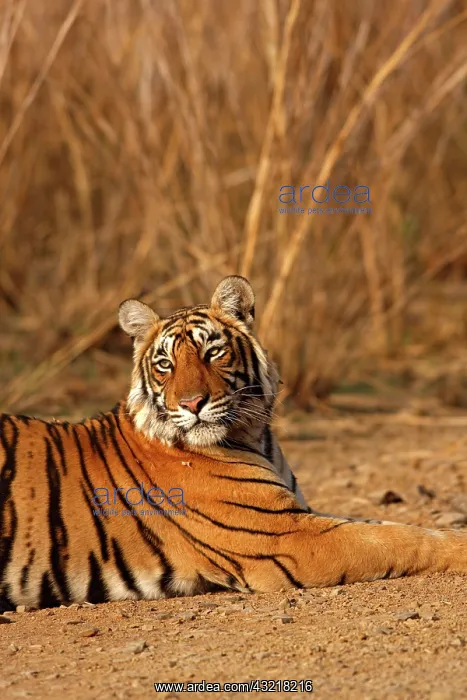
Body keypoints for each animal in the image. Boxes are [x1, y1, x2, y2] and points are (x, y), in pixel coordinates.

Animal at [0, 275, 466, 611]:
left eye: (212, 353)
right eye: (165, 364)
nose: (192, 403)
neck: (252, 434)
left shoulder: (295, 515)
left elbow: (387, 527)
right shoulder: (285, 534)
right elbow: (401, 539)